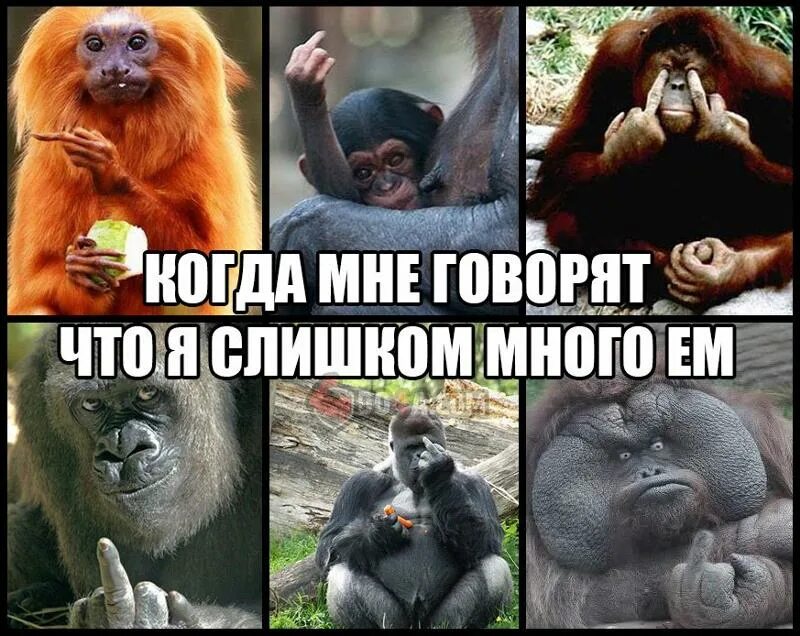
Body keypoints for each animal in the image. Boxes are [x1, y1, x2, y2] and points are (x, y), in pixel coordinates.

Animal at [8, 7, 259, 315]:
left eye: (136, 43)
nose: (115, 68)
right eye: (95, 45)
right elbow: (34, 283)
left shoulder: (213, 155)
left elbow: (208, 262)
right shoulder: (44, 166)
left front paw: (112, 174)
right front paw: (81, 268)